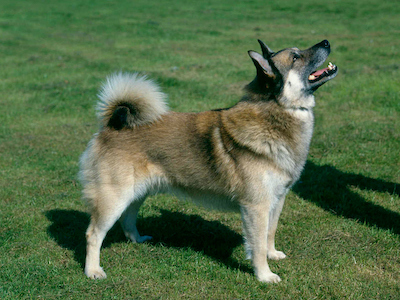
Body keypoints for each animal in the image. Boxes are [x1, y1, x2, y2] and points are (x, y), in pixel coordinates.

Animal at [79, 38, 340, 282]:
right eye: (296, 57)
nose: (327, 42)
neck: (275, 111)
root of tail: (112, 125)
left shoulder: (277, 199)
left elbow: (270, 233)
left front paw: (272, 254)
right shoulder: (256, 206)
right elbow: (256, 245)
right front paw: (264, 275)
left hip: (137, 193)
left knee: (127, 219)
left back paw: (138, 239)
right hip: (114, 197)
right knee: (93, 234)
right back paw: (93, 271)